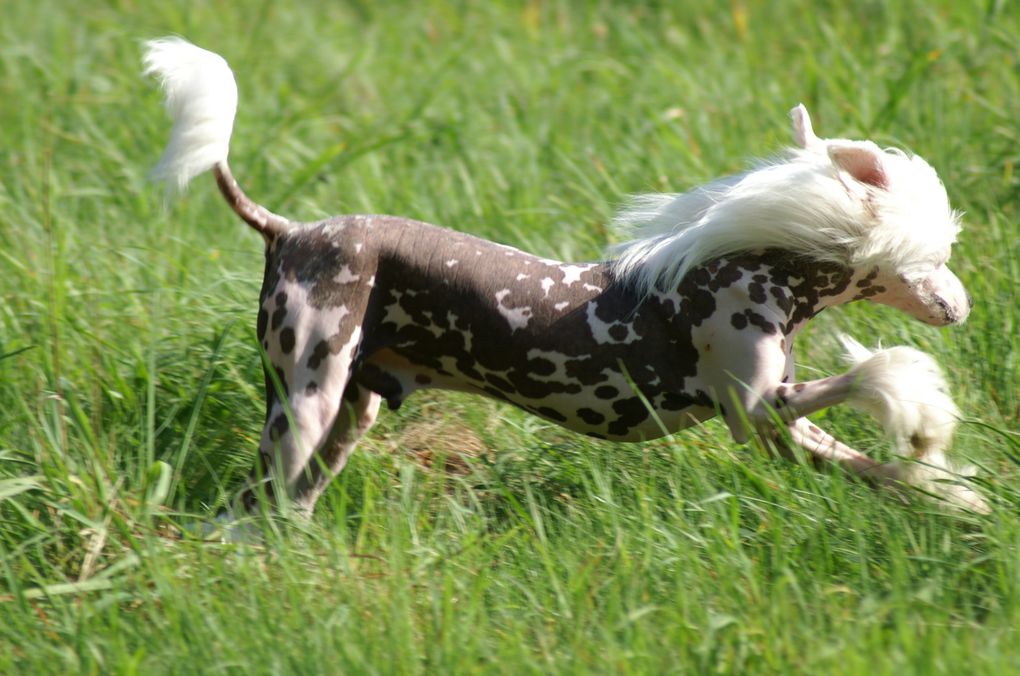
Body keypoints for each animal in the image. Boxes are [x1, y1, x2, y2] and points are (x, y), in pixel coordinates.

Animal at [143, 35, 987, 513]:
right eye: (936, 258)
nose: (964, 307)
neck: (744, 266)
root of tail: (289, 230)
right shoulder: (755, 411)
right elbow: (877, 375)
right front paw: (921, 413)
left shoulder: (781, 432)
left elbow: (875, 469)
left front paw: (955, 500)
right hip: (306, 401)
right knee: (249, 504)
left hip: (349, 412)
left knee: (281, 508)